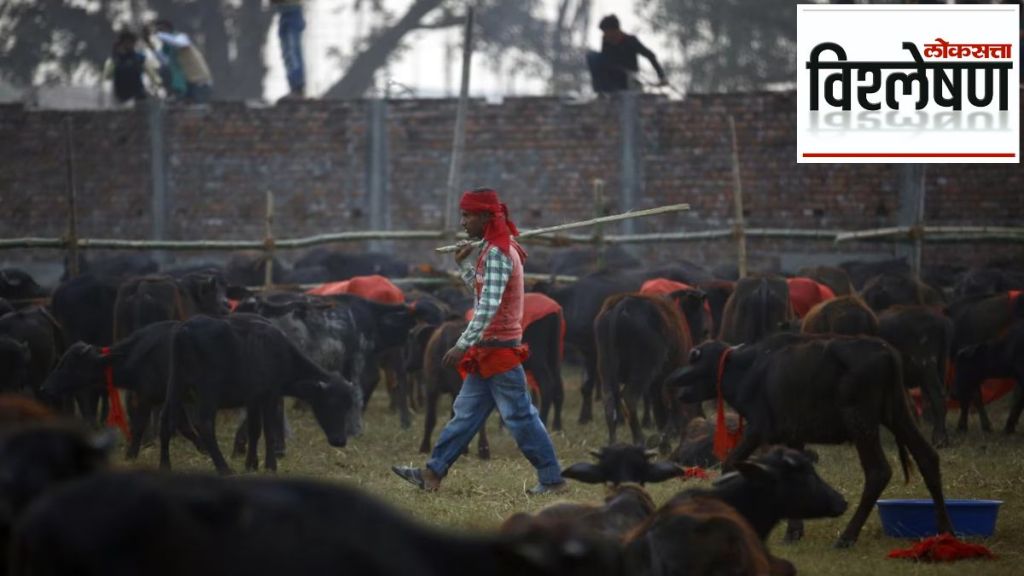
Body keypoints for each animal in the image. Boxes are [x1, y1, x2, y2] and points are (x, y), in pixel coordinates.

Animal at [160, 313, 360, 471]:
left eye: (349, 406)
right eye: (331, 404)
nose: (340, 441)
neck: (280, 355)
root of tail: (185, 330)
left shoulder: (253, 400)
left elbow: (254, 430)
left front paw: (252, 464)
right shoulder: (268, 396)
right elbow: (268, 430)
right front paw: (270, 465)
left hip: (175, 386)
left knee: (167, 420)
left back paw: (165, 464)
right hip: (208, 391)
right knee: (205, 424)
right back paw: (224, 468)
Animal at [663, 332, 950, 541]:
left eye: (694, 356)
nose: (672, 376)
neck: (748, 369)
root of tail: (886, 352)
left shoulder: (758, 428)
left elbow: (730, 462)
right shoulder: (794, 436)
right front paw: (794, 529)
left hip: (861, 421)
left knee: (878, 471)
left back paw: (847, 536)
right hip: (898, 414)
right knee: (928, 457)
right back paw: (944, 530)